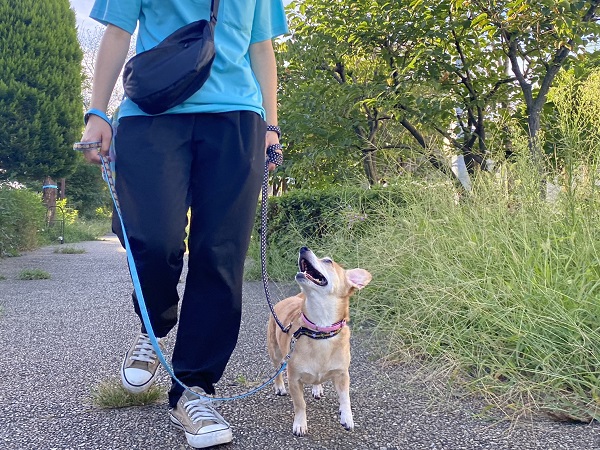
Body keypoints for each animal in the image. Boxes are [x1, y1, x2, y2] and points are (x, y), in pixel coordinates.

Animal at [266, 246, 370, 436]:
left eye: (328, 261)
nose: (303, 248)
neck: (320, 329)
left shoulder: (343, 374)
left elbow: (345, 398)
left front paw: (347, 417)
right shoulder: (294, 379)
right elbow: (300, 404)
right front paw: (300, 423)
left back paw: (317, 388)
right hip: (275, 352)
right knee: (277, 370)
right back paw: (279, 387)